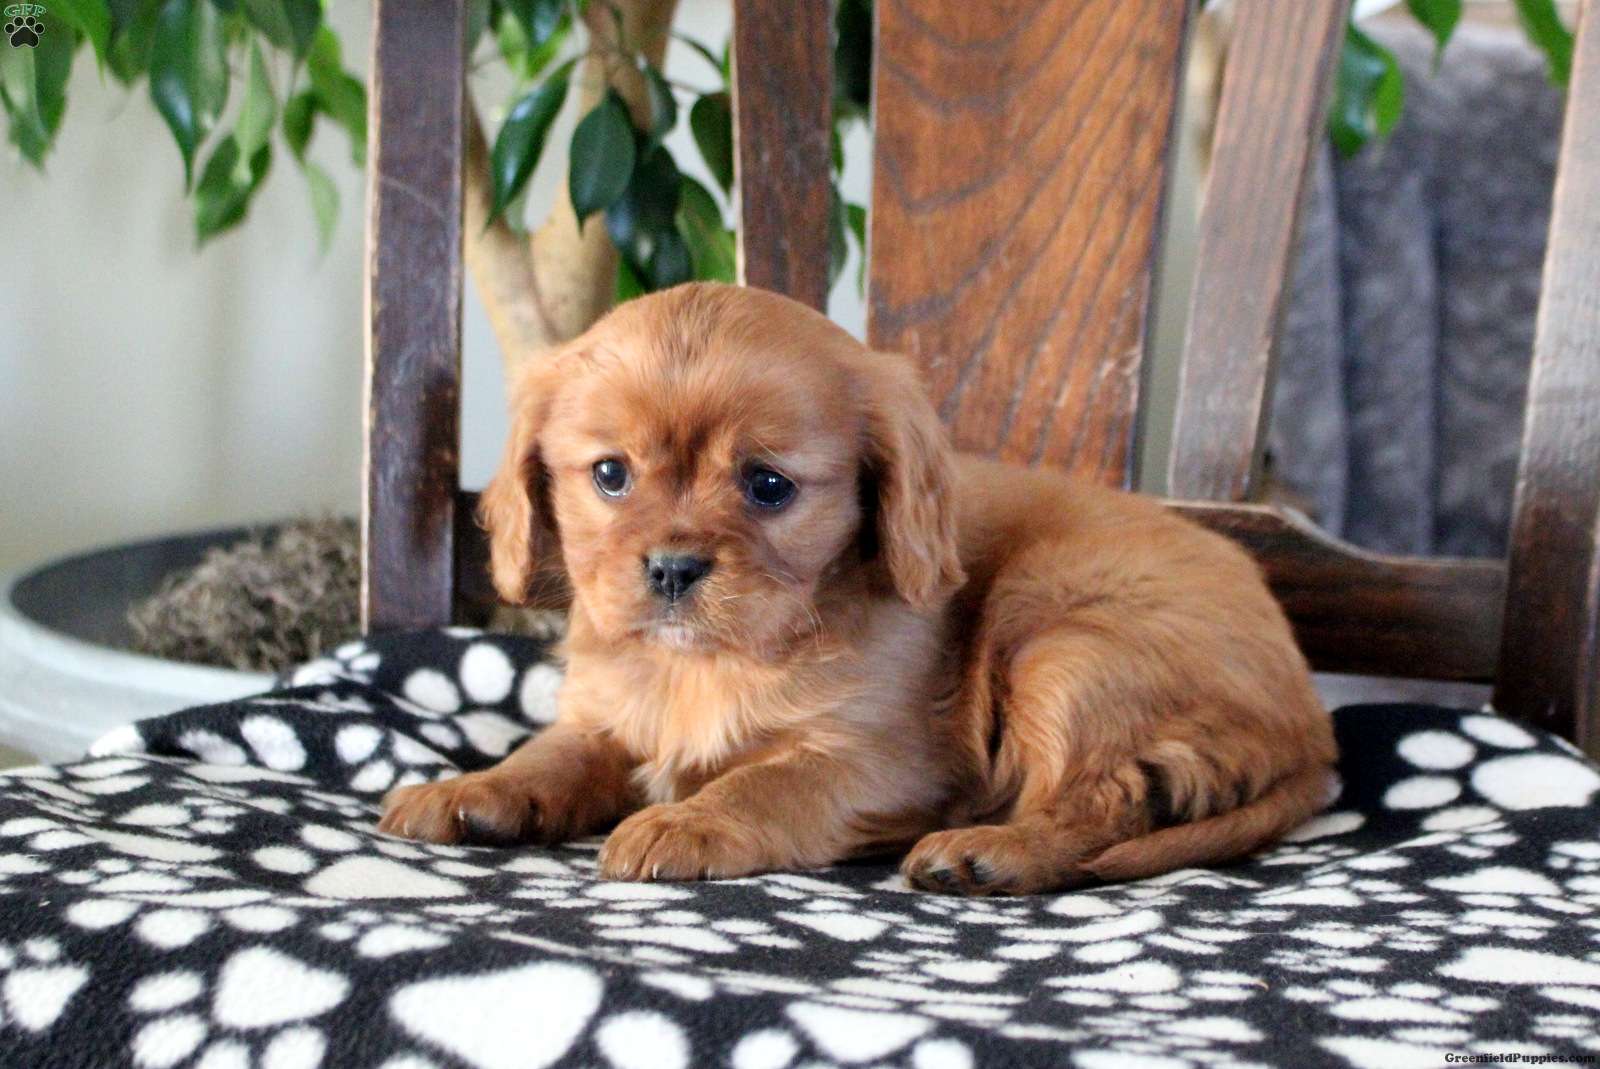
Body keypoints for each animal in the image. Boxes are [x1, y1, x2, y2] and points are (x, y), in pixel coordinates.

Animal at [379, 283, 1337, 895]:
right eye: (610, 474)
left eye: (768, 485)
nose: (673, 567)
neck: (708, 663)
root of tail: (1312, 731)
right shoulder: (603, 720)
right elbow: (548, 755)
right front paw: (470, 790)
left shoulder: (883, 760)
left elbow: (767, 783)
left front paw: (685, 822)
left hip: (1060, 646)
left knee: (1103, 797)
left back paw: (993, 850)